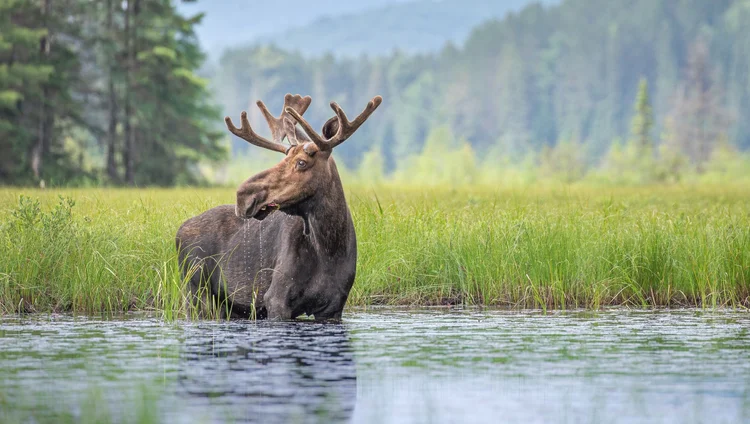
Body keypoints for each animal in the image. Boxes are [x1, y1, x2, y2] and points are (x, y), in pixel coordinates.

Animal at [176, 93, 382, 320]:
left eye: (301, 162)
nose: (243, 195)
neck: (329, 247)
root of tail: (179, 230)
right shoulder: (275, 299)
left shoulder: (334, 306)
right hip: (194, 288)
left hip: (228, 304)